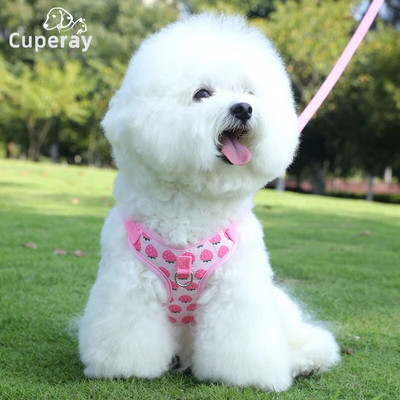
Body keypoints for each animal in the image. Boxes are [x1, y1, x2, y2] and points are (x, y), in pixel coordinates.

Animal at [79, 13, 340, 390]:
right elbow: (129, 333)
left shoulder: (237, 290)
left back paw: (308, 362)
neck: (193, 202)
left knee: (306, 341)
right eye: (202, 93)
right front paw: (125, 368)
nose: (243, 108)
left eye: (248, 92)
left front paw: (244, 376)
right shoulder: (128, 286)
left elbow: (240, 338)